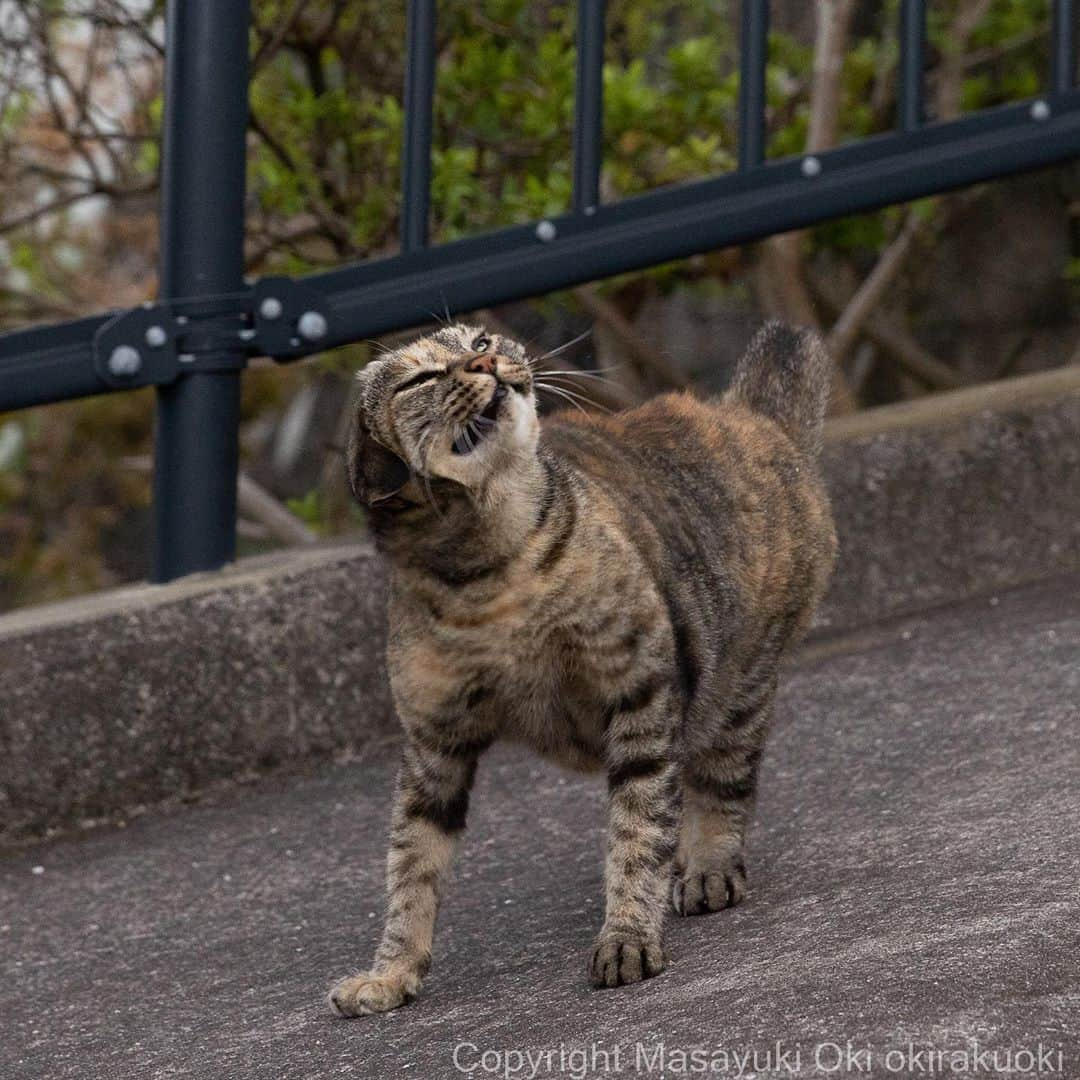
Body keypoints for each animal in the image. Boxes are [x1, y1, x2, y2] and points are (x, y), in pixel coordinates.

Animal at [328, 317, 833, 1010]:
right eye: (423, 377)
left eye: (480, 339)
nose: (486, 360)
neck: (489, 572)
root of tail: (746, 413)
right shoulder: (433, 746)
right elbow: (410, 865)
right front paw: (391, 971)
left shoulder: (640, 692)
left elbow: (635, 832)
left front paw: (626, 936)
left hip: (738, 685)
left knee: (720, 781)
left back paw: (707, 865)